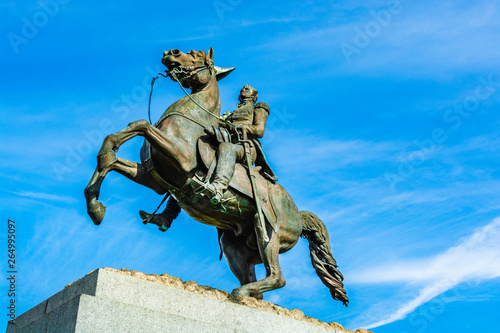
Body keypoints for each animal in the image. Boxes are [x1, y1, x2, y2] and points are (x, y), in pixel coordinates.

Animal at [83, 46, 348, 304]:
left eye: (197, 54)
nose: (171, 52)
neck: (191, 118)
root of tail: (299, 216)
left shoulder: (181, 158)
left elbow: (140, 125)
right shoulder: (155, 178)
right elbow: (113, 157)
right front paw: (96, 207)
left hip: (268, 234)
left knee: (277, 277)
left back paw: (241, 291)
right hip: (235, 246)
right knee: (258, 286)